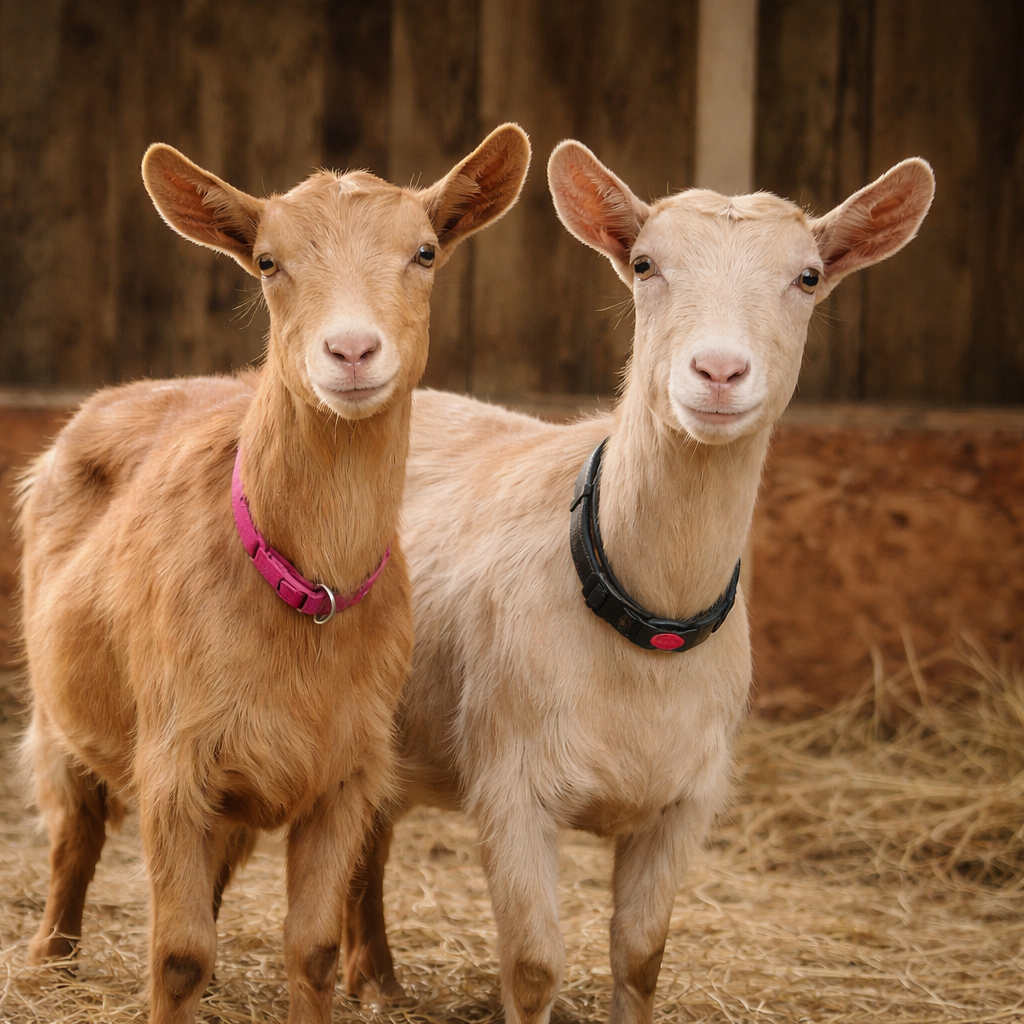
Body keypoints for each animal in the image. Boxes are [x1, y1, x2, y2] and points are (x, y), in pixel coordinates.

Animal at [18, 124, 530, 1024]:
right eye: (267, 261)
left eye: (425, 251)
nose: (352, 350)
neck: (304, 590)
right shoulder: (173, 762)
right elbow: (176, 954)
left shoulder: (345, 774)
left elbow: (313, 948)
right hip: (57, 715)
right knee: (73, 832)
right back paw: (50, 959)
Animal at [342, 142, 934, 1024]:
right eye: (646, 264)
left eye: (808, 276)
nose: (718, 370)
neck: (641, 617)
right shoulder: (511, 783)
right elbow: (533, 967)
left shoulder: (685, 802)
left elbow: (643, 957)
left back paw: (373, 976)